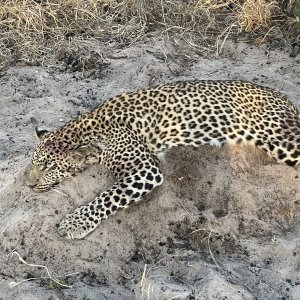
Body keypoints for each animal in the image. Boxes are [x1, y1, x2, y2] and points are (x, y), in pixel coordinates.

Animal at [26, 79, 300, 239]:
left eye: (50, 167)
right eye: (34, 162)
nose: (28, 185)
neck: (87, 129)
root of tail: (285, 99)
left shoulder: (144, 169)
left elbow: (107, 197)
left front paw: (74, 224)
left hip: (282, 139)